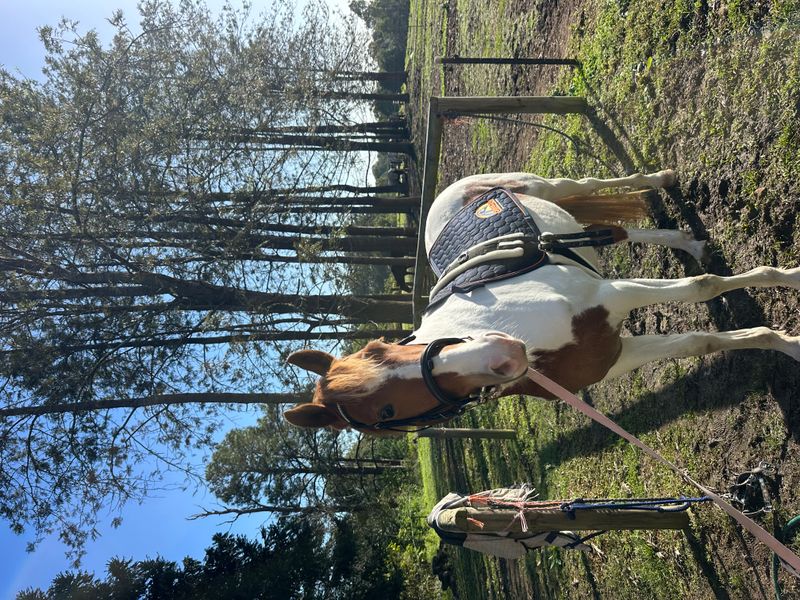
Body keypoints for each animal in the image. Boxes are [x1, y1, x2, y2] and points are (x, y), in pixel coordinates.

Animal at [283, 170, 800, 434]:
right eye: (384, 416)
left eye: (381, 350)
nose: (501, 353)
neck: (530, 339)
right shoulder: (615, 353)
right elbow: (703, 341)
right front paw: (784, 342)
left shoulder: (613, 295)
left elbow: (706, 286)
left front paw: (789, 286)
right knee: (618, 231)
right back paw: (687, 243)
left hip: (550, 187)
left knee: (595, 184)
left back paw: (665, 177)